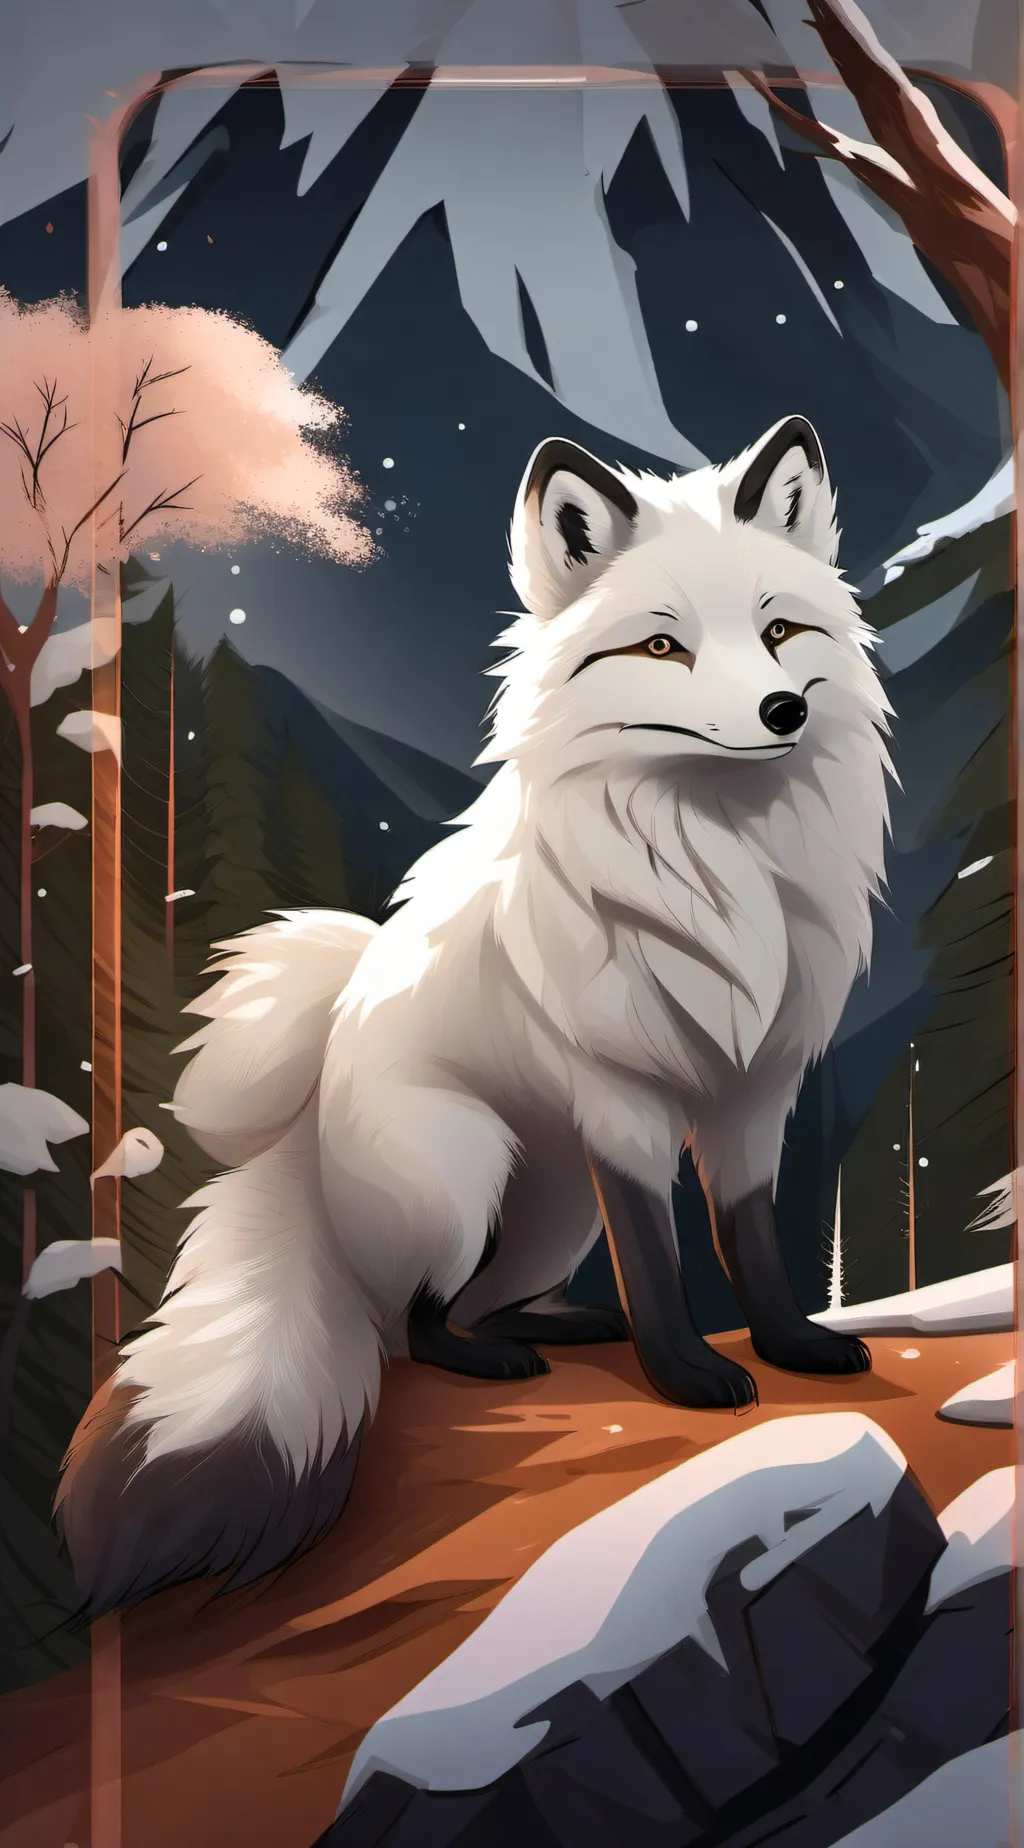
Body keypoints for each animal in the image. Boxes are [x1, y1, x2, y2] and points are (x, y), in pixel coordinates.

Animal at [57, 415, 894, 1616]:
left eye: (781, 631)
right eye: (662, 649)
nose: (785, 711)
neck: (720, 866)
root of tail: (313, 1118)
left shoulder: (752, 1094)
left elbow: (751, 1239)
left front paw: (790, 1349)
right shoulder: (623, 1102)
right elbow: (657, 1256)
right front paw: (687, 1376)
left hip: (551, 1208)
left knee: (484, 1297)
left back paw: (562, 1323)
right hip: (468, 1171)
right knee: (417, 1323)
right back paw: (497, 1358)